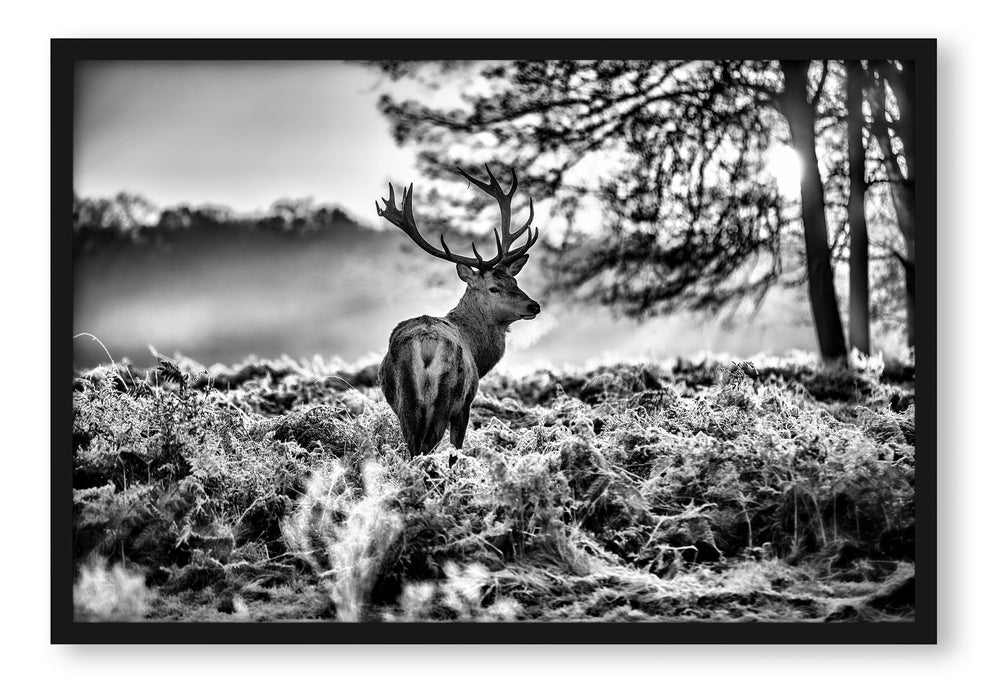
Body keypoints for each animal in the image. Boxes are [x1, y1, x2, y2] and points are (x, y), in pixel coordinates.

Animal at [376, 166, 544, 456]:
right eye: (494, 288)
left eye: (515, 282)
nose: (534, 305)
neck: (477, 350)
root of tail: (426, 346)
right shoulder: (466, 404)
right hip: (446, 398)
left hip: (404, 401)